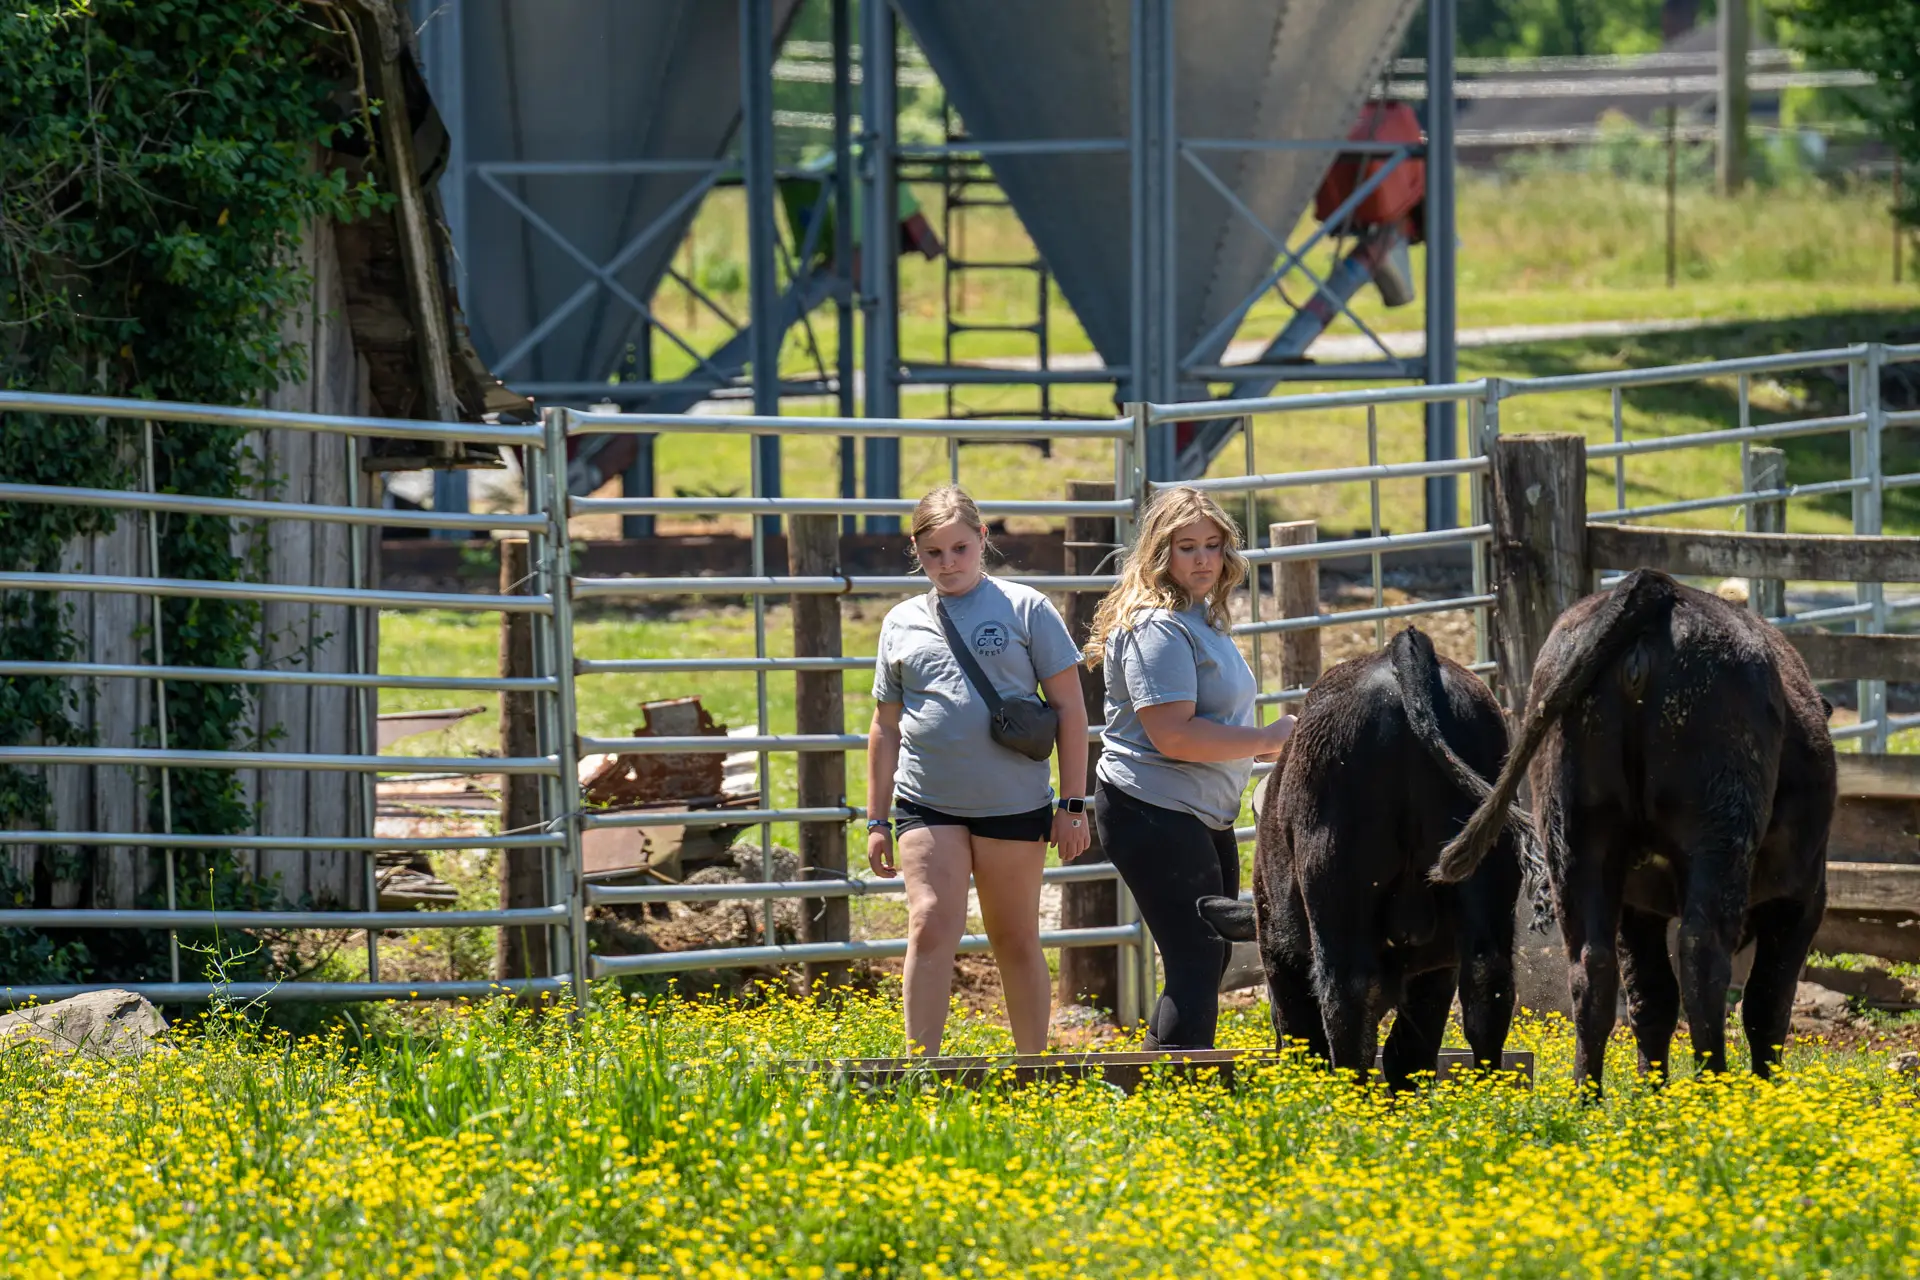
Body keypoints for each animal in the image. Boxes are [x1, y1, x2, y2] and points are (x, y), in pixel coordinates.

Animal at [1197, 625, 1536, 1090]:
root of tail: (1401, 652)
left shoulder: (1277, 946)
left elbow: (1302, 1030)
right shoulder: (1436, 967)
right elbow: (1410, 1046)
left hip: (1337, 884)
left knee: (1347, 997)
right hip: (1486, 876)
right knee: (1487, 985)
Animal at [1431, 568, 1836, 1094]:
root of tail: (1658, 588)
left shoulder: (1637, 905)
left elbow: (1652, 996)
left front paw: (1652, 1091)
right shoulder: (1802, 897)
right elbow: (1766, 1002)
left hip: (1578, 837)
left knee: (1594, 968)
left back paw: (1588, 1097)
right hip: (1717, 835)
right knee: (1703, 956)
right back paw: (1713, 1091)